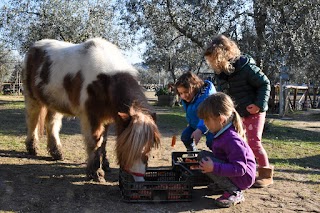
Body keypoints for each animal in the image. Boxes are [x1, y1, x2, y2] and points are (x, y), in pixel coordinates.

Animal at [22, 37, 161, 181]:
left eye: (149, 148)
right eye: (126, 148)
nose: (138, 179)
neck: (105, 80)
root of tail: (34, 47)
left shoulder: (108, 117)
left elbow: (104, 142)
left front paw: (105, 164)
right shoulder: (92, 117)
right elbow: (95, 142)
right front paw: (95, 172)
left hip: (54, 103)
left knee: (52, 125)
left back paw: (57, 152)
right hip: (32, 99)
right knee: (32, 122)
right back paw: (32, 148)